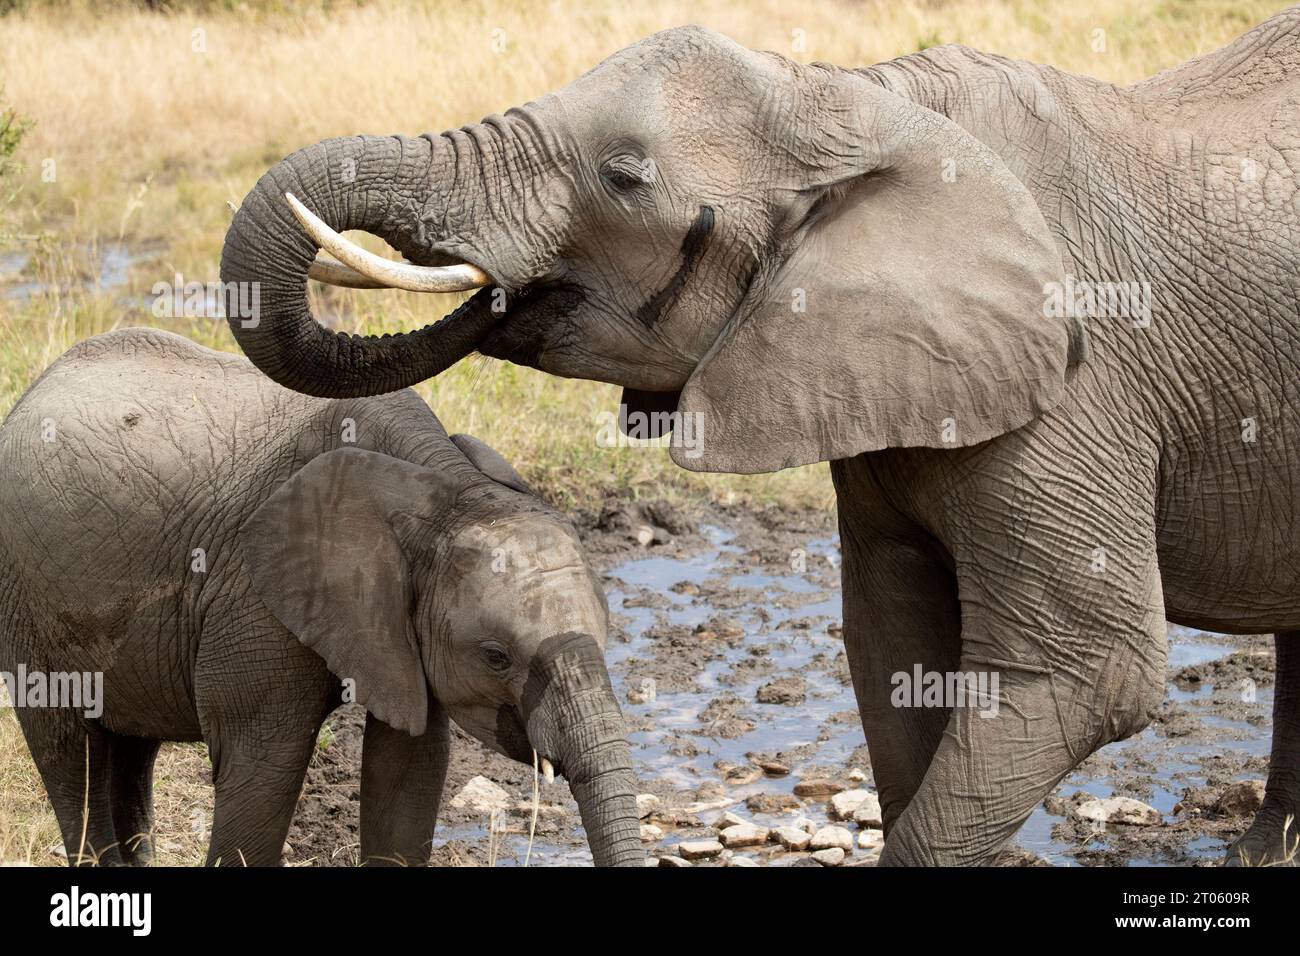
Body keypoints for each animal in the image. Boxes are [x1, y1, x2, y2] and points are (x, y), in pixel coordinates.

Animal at [0, 329, 644, 868]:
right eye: (496, 657)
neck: (446, 487)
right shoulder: (253, 597)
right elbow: (264, 768)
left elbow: (410, 771)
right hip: (27, 600)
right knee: (71, 757)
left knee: (131, 753)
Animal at [223, 7, 1300, 863]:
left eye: (623, 176)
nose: (503, 292)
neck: (855, 96)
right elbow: (891, 644)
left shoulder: (1078, 387)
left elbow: (1090, 673)